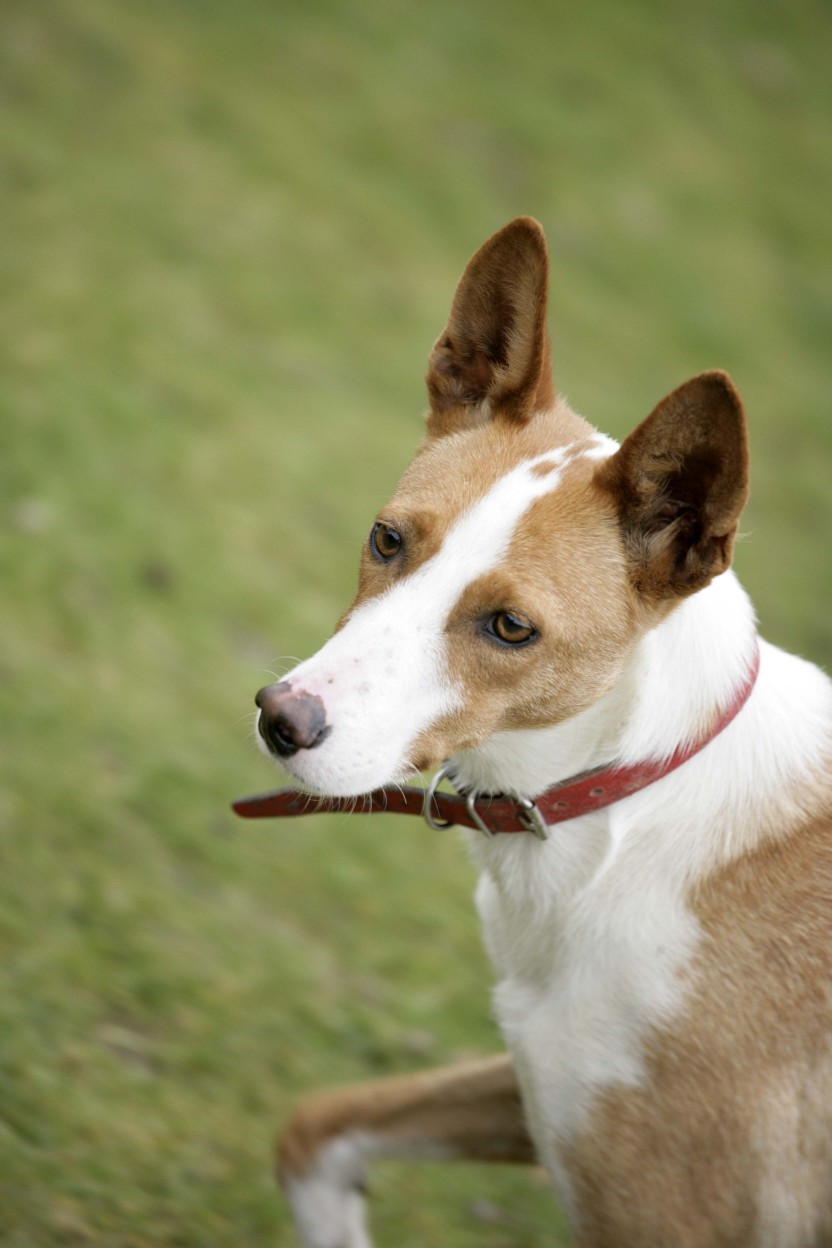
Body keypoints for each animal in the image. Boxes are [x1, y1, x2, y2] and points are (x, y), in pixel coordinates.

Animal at [245, 219, 832, 1243]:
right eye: (388, 539)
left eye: (511, 628)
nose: (283, 720)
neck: (634, 798)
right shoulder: (544, 1089)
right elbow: (314, 1129)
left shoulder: (655, 1206)